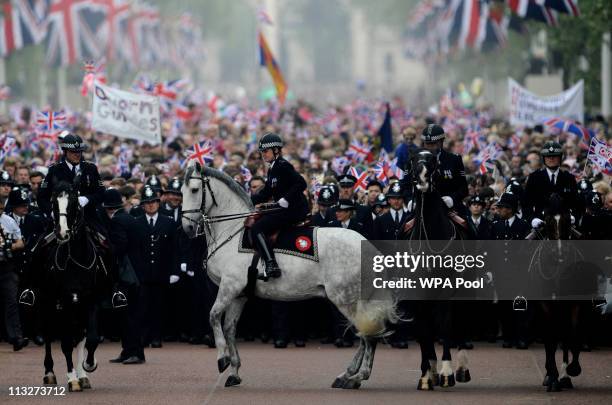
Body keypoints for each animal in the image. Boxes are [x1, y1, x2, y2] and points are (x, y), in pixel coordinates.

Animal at [179, 162, 396, 388]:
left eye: (194, 190)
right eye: (182, 192)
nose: (187, 227)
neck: (233, 232)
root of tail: (367, 245)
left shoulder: (230, 286)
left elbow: (213, 316)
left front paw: (222, 358)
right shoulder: (239, 294)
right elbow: (230, 328)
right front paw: (234, 371)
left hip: (346, 299)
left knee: (368, 335)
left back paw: (355, 376)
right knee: (366, 333)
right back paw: (348, 376)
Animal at [402, 150, 474, 390]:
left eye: (434, 162)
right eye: (413, 162)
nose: (421, 179)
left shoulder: (446, 292)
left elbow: (444, 326)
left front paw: (446, 373)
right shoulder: (417, 295)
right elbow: (425, 331)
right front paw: (426, 374)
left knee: (460, 322)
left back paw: (462, 369)